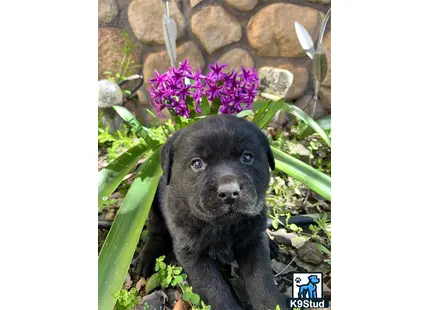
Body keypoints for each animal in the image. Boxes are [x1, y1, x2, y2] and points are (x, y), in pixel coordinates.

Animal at [136, 114, 288, 310]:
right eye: (197, 163)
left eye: (247, 157)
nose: (229, 192)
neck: (223, 227)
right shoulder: (193, 255)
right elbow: (216, 289)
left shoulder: (253, 241)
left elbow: (261, 280)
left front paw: (272, 304)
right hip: (153, 206)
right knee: (156, 232)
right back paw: (147, 258)